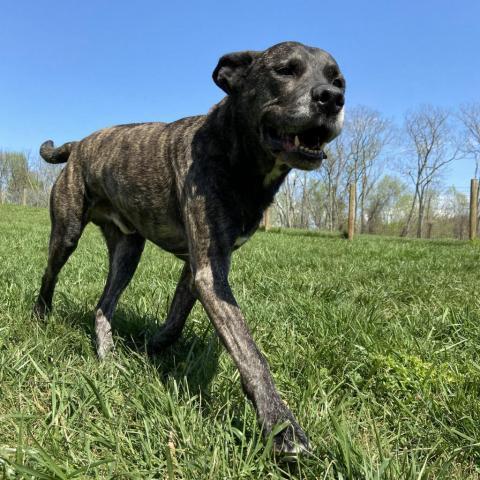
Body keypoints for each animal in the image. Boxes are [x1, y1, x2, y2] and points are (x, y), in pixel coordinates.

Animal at [33, 41, 344, 454]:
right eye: (285, 70)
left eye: (338, 80)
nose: (332, 99)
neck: (234, 153)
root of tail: (79, 143)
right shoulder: (211, 274)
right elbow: (250, 354)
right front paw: (282, 427)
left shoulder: (200, 269)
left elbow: (178, 317)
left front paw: (153, 348)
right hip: (67, 232)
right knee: (49, 274)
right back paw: (41, 314)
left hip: (128, 251)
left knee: (103, 306)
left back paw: (106, 353)